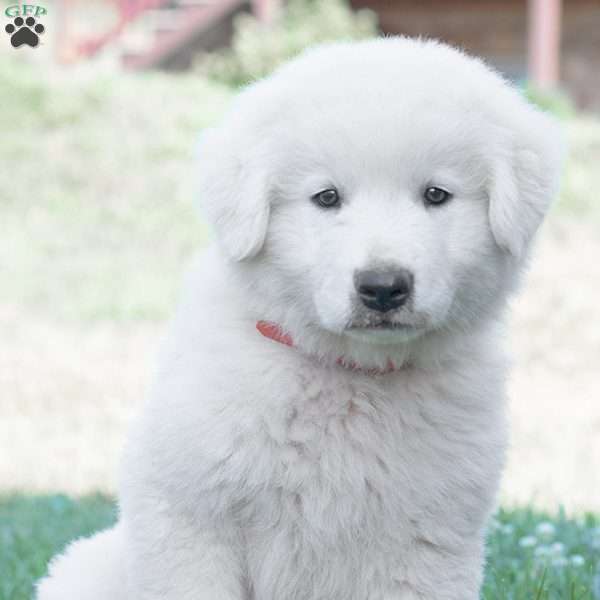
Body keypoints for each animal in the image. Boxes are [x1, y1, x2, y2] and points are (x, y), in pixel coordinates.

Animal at [37, 37, 564, 600]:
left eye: (436, 195)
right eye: (326, 197)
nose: (382, 287)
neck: (349, 377)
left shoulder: (426, 544)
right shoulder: (189, 515)